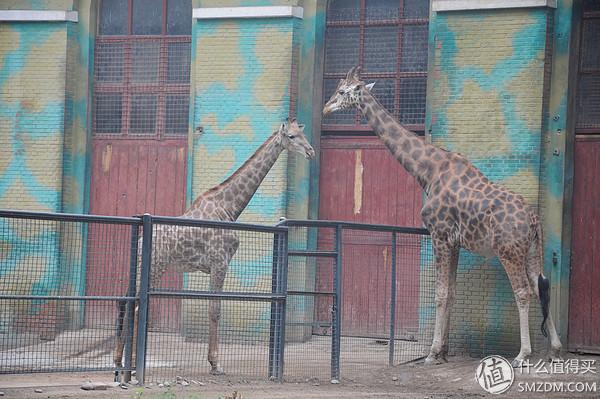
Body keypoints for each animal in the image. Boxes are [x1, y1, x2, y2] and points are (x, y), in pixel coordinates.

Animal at [114, 118, 316, 378]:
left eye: (303, 134)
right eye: (291, 137)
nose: (310, 152)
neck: (229, 206)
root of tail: (139, 243)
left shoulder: (215, 265)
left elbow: (213, 308)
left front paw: (213, 361)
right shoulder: (220, 262)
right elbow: (215, 310)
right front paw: (215, 363)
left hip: (141, 269)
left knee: (128, 302)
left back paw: (119, 363)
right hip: (156, 267)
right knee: (139, 307)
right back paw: (131, 366)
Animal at [324, 66, 564, 368]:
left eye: (342, 91)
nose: (325, 108)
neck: (427, 170)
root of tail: (534, 219)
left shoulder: (438, 234)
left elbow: (439, 294)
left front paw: (432, 353)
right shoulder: (455, 242)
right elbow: (451, 293)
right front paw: (444, 352)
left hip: (508, 250)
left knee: (523, 291)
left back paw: (523, 354)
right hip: (532, 250)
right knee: (541, 286)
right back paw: (554, 349)